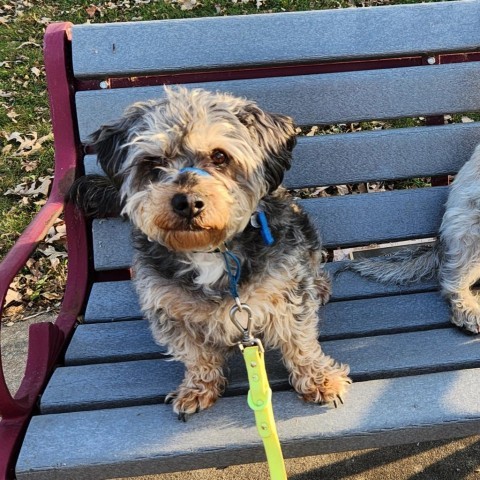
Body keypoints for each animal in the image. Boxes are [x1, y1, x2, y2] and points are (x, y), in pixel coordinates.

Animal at [70, 88, 348, 418]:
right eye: (153, 162)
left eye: (220, 156)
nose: (187, 202)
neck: (210, 250)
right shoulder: (169, 310)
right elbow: (196, 354)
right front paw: (198, 388)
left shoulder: (287, 291)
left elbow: (299, 340)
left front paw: (320, 379)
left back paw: (321, 286)